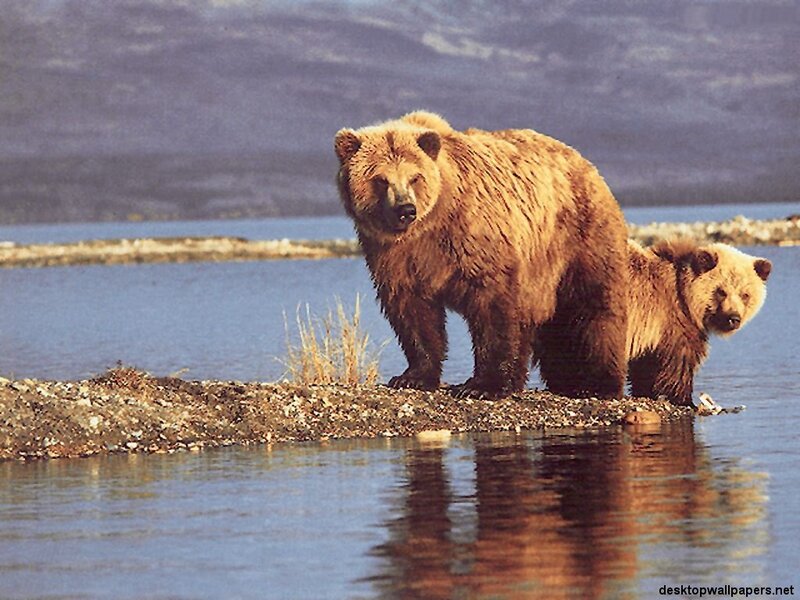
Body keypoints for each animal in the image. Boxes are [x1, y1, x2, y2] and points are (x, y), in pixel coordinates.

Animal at [334, 110, 629, 398]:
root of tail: (586, 164)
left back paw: (597, 384)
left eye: (415, 177)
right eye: (380, 179)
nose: (406, 210)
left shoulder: (474, 236)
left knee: (593, 306)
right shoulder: (394, 254)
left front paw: (482, 385)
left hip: (577, 237)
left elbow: (491, 305)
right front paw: (412, 377)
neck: (430, 225)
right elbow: (412, 310)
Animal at [626, 238, 771, 405]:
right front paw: (686, 400)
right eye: (721, 291)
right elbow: (678, 361)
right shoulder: (671, 321)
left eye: (745, 294)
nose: (733, 318)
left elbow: (645, 366)